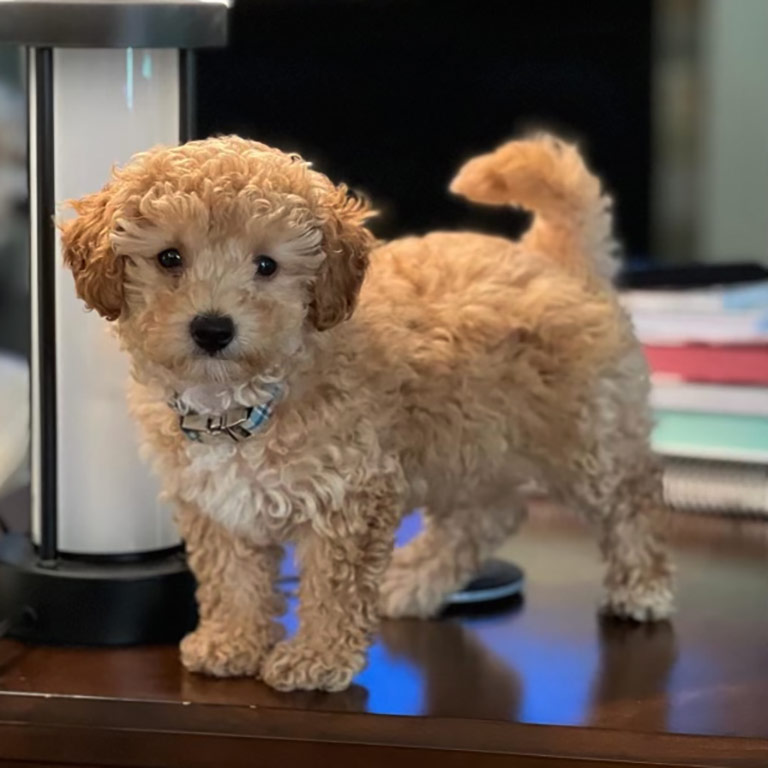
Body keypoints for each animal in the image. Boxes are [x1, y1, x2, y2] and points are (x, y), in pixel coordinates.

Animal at [60, 132, 672, 688]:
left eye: (266, 265)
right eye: (169, 258)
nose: (212, 328)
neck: (244, 399)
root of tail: (554, 259)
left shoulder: (350, 496)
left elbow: (333, 586)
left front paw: (318, 658)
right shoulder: (216, 505)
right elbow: (232, 577)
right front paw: (232, 641)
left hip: (587, 433)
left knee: (630, 498)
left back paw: (641, 587)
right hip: (467, 440)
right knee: (485, 516)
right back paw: (416, 582)